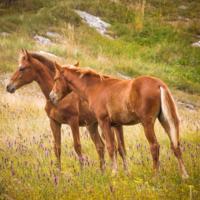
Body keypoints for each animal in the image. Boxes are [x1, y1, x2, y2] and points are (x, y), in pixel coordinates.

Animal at [49, 61, 189, 179]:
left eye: (55, 79)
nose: (51, 96)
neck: (96, 88)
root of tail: (159, 84)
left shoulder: (104, 122)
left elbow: (111, 147)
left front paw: (114, 173)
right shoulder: (117, 125)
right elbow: (121, 149)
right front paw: (127, 173)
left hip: (147, 123)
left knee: (155, 146)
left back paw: (155, 176)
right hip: (165, 120)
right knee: (175, 145)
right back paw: (184, 175)